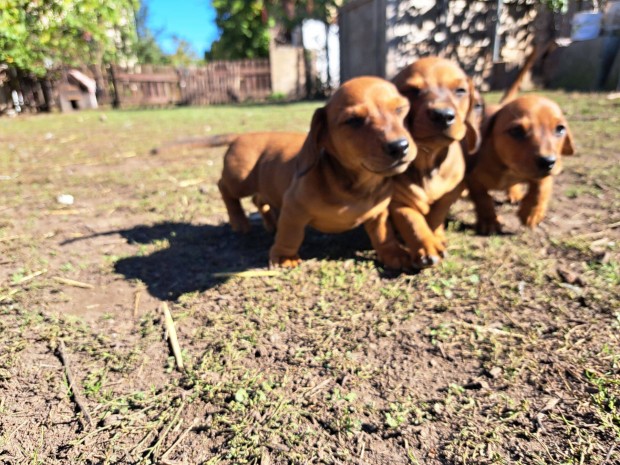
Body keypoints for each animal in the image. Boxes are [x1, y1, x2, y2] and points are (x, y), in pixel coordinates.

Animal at [218, 76, 416, 268]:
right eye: (353, 120)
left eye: (400, 109)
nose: (399, 147)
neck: (358, 186)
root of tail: (240, 135)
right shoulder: (293, 208)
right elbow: (290, 235)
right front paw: (284, 256)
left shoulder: (379, 214)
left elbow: (383, 234)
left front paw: (394, 253)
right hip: (239, 179)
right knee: (224, 188)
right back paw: (239, 221)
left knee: (258, 199)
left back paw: (271, 223)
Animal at [390, 56, 482, 266]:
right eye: (411, 90)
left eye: (460, 90)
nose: (443, 115)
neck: (428, 159)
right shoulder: (397, 200)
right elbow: (412, 221)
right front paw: (426, 246)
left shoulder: (451, 193)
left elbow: (437, 216)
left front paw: (436, 237)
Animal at [464, 94, 572, 234]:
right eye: (516, 130)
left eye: (560, 129)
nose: (548, 162)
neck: (507, 167)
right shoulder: (474, 179)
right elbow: (483, 200)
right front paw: (489, 222)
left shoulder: (542, 174)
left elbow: (540, 189)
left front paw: (531, 213)